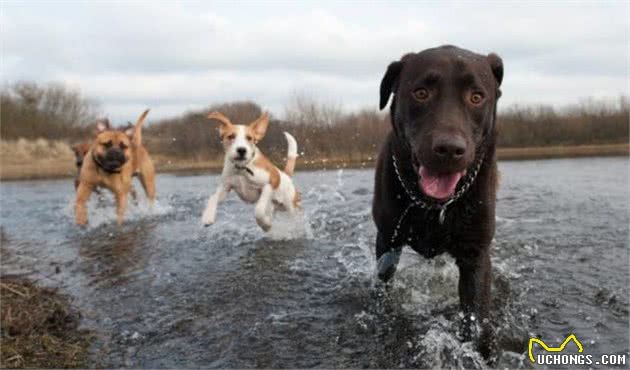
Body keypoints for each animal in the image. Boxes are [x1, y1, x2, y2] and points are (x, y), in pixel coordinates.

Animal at [376, 44, 504, 360]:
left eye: (476, 96)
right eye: (421, 93)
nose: (449, 149)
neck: (434, 207)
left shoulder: (475, 255)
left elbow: (476, 318)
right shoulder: (387, 241)